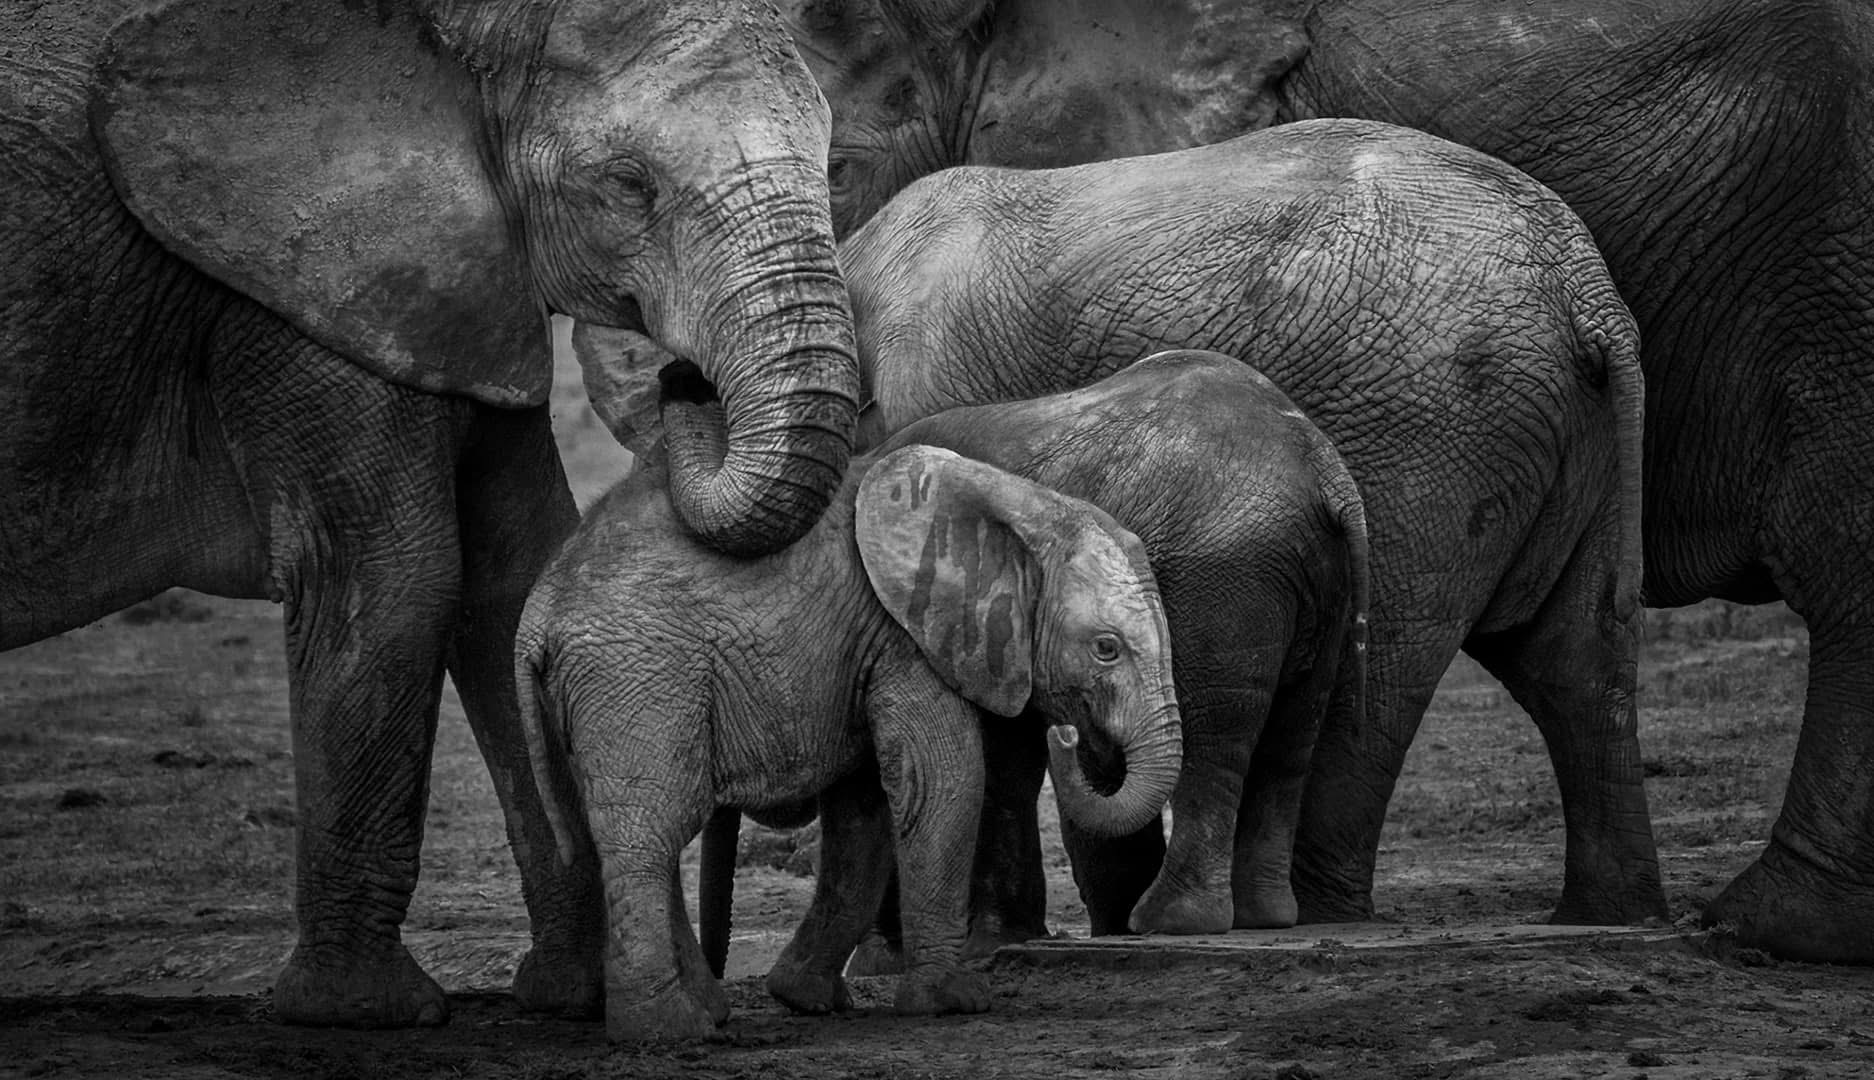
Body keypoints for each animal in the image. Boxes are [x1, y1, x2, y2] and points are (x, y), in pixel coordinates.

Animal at [1, 0, 860, 1027]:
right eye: (628, 185)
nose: (686, 382)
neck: (461, 32)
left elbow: (514, 578)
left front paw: (575, 996)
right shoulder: (296, 285)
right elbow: (396, 579)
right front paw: (363, 1011)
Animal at [513, 401, 1189, 1039]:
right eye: (1106, 648)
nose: (1065, 734)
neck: (1024, 504)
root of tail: (537, 615)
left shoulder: (868, 647)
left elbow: (864, 813)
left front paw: (806, 999)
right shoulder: (904, 637)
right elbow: (943, 779)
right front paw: (952, 1003)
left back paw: (706, 1011)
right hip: (639, 675)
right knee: (650, 829)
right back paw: (668, 1030)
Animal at [780, 0, 1874, 962]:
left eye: (833, 167)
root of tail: (1588, 298)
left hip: (1429, 429)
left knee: (1380, 663)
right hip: (1584, 435)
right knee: (1578, 654)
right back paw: (1613, 917)